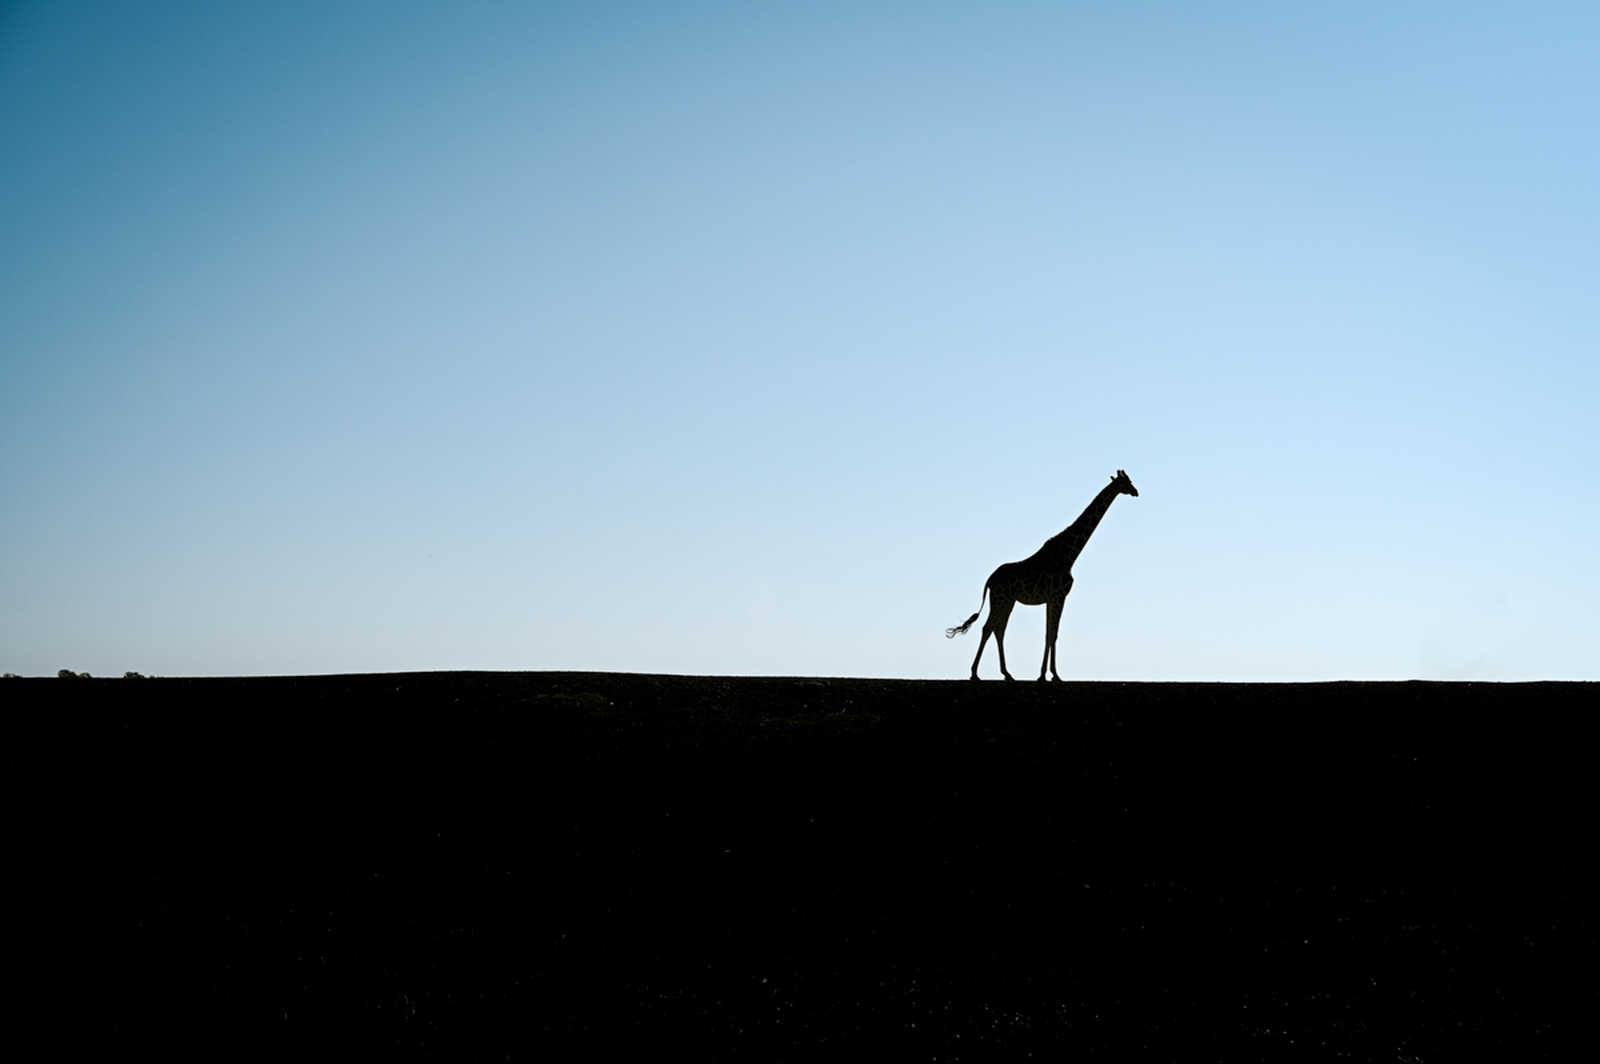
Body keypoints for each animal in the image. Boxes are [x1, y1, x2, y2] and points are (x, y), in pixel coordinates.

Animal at [946, 470, 1138, 681]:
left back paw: (1007, 673)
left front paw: (1046, 674)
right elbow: (1052, 634)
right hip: (1000, 598)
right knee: (989, 628)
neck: (1070, 554)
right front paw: (1052, 675)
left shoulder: (1052, 598)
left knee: (999, 629)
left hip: (1008, 600)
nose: (1136, 492)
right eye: (1126, 482)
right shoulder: (1059, 596)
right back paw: (975, 673)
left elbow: (1050, 633)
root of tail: (989, 579)